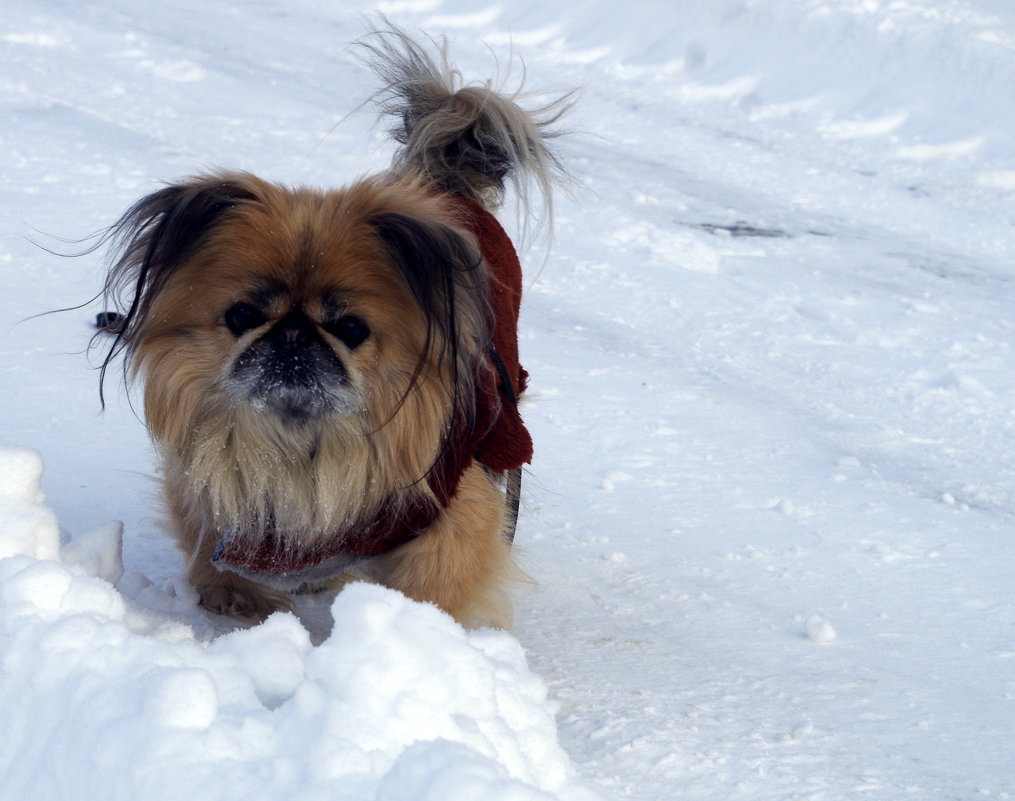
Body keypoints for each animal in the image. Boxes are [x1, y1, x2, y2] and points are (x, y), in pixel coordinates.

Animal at [94, 28, 568, 629]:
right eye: (243, 316)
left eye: (349, 326)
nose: (293, 334)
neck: (303, 446)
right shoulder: (213, 488)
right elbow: (211, 546)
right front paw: (236, 597)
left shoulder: (455, 504)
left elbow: (438, 576)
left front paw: (410, 625)